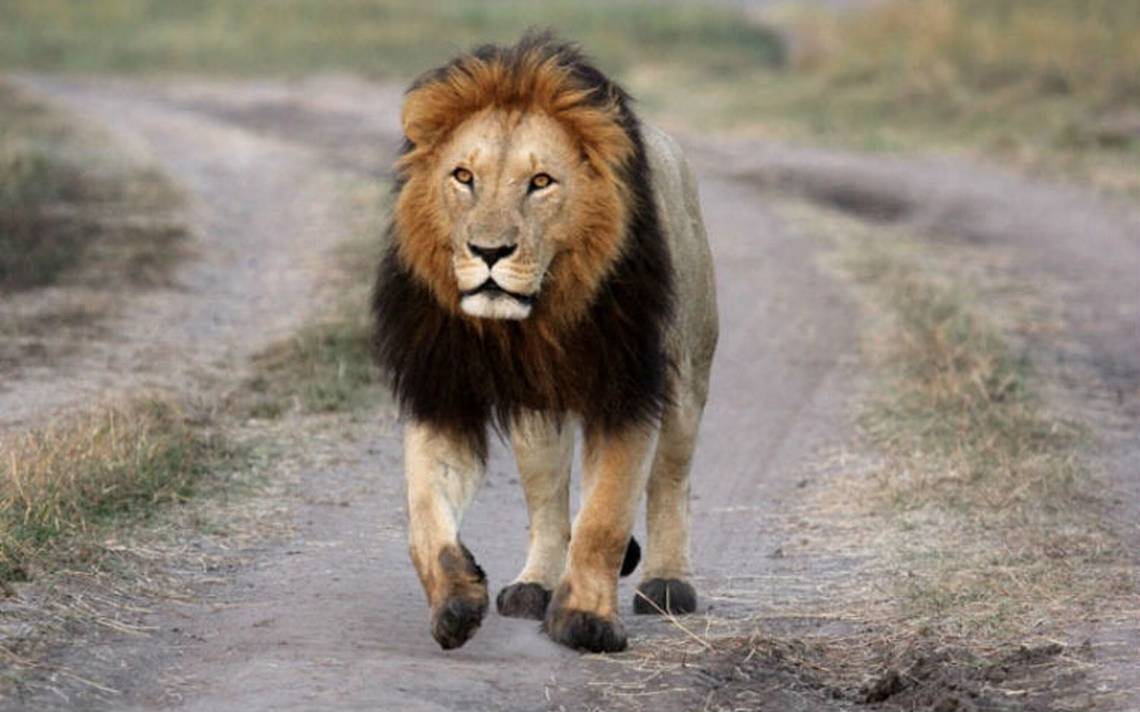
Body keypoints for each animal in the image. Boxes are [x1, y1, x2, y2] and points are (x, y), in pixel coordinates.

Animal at [369, 34, 715, 656]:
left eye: (541, 182)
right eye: (463, 176)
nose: (488, 251)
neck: (528, 324)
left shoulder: (626, 391)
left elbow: (605, 518)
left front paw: (586, 620)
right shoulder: (442, 389)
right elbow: (424, 515)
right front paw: (456, 601)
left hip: (685, 380)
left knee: (671, 481)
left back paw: (667, 584)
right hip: (538, 418)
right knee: (547, 501)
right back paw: (535, 586)